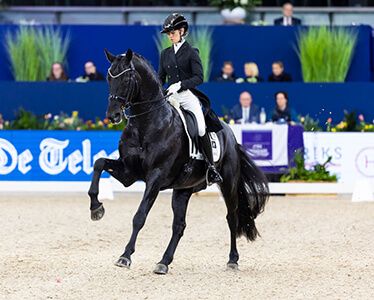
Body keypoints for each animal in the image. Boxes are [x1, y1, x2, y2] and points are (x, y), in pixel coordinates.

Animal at [88, 48, 268, 274]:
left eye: (127, 78)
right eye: (109, 78)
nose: (112, 116)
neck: (146, 124)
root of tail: (229, 133)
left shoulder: (155, 177)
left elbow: (140, 216)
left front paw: (125, 256)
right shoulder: (128, 172)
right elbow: (99, 163)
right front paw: (96, 208)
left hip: (228, 183)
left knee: (231, 217)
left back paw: (233, 260)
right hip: (183, 190)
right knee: (179, 226)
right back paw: (163, 262)